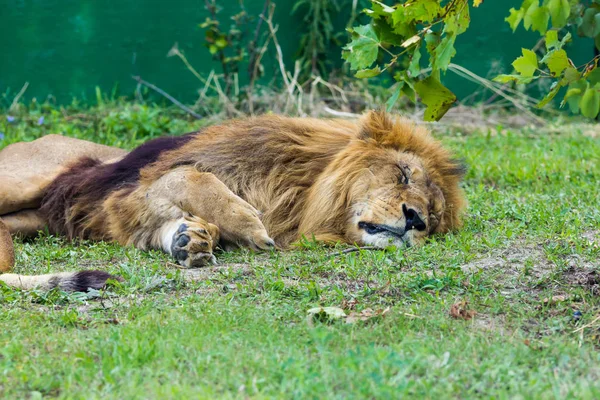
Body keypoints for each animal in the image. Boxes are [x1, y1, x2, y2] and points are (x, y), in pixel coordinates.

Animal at [0, 111, 466, 292]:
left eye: (434, 217)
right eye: (403, 174)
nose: (414, 220)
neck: (300, 194)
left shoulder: (132, 214)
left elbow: (171, 224)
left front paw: (190, 240)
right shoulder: (136, 189)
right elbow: (192, 178)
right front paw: (249, 224)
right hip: (20, 181)